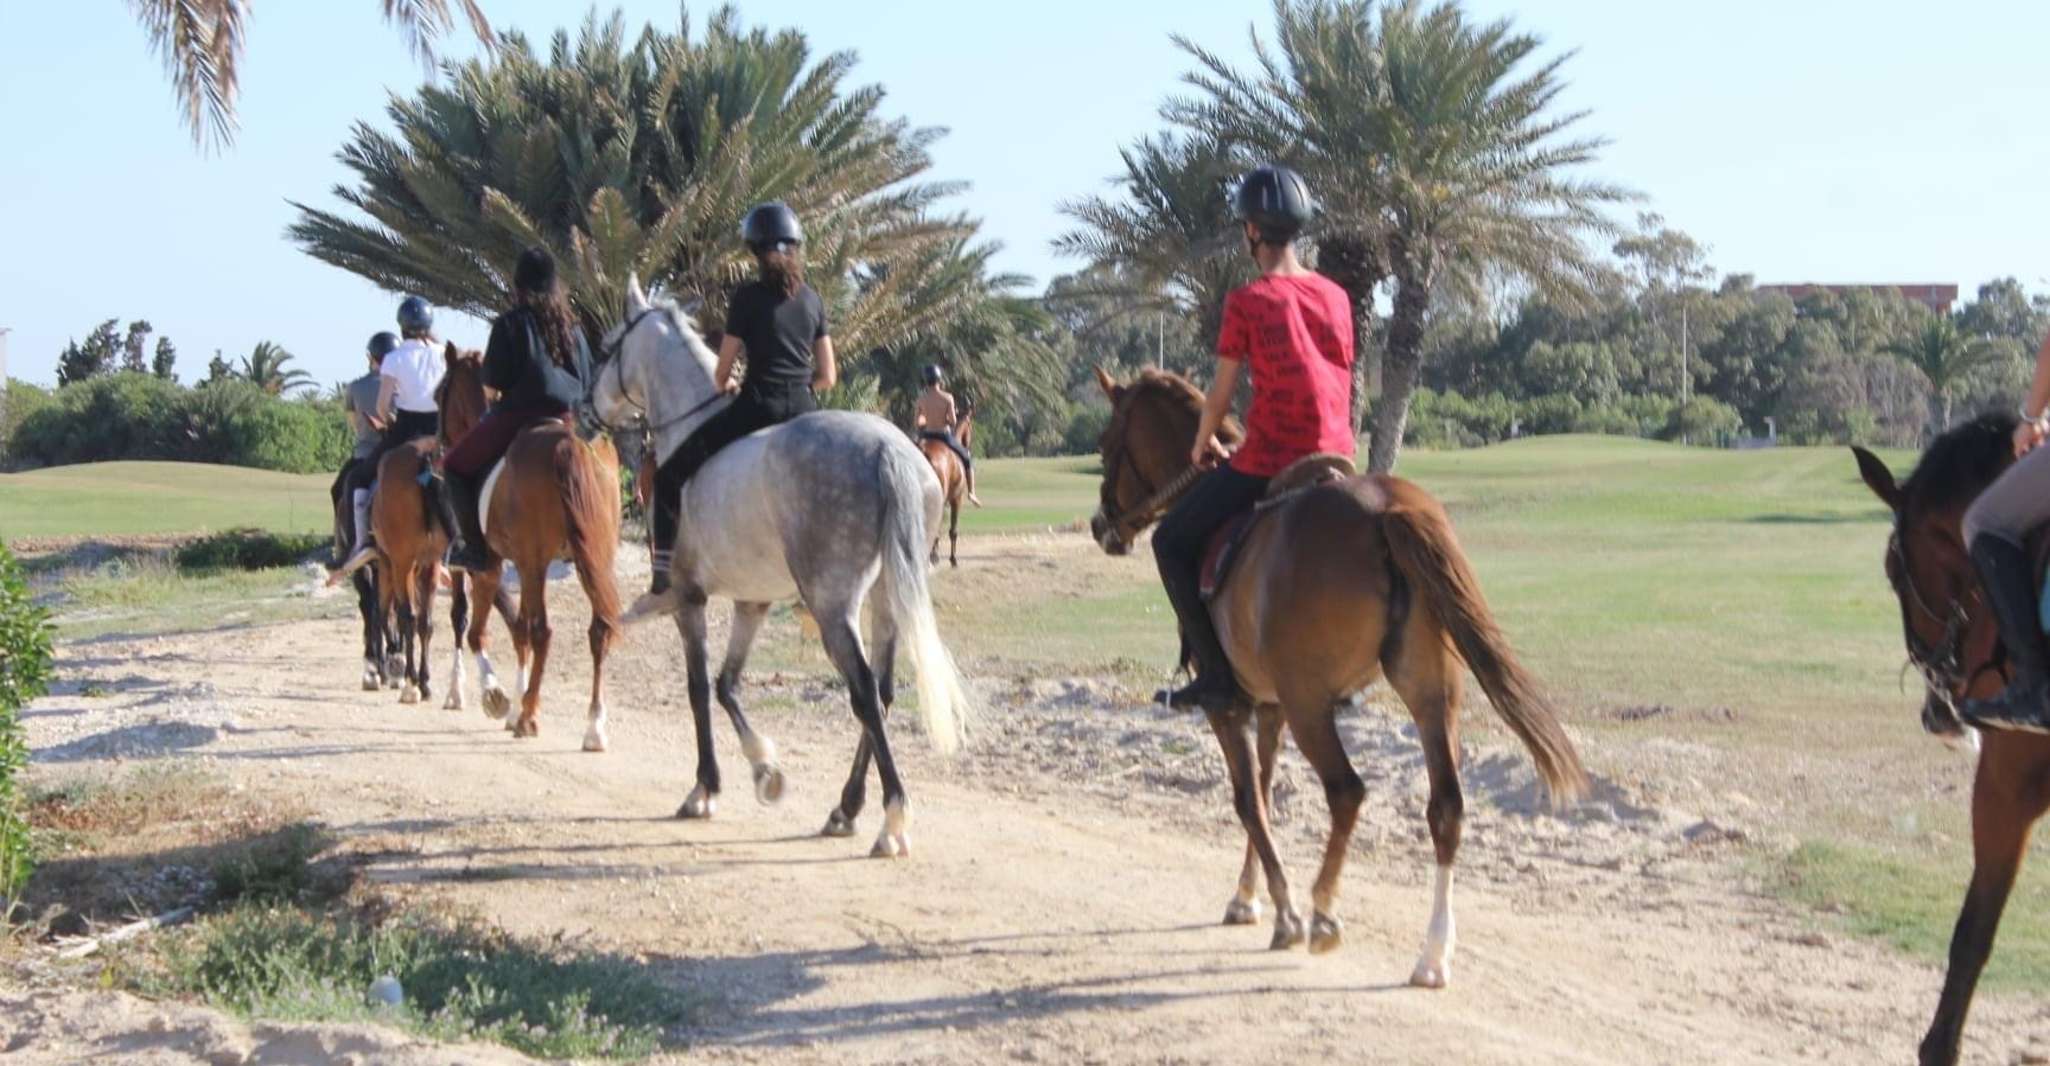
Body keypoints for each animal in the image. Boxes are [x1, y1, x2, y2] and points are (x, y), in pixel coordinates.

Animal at [1086, 367, 1587, 986]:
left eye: (1106, 445)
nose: (1100, 525)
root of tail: (1385, 510)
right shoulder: (1269, 704)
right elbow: (1266, 791)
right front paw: (1248, 897)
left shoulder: (1231, 705)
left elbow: (1248, 799)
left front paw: (1282, 910)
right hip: (1429, 694)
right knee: (1446, 807)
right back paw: (1432, 953)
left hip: (1312, 706)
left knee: (1347, 791)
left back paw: (1323, 913)